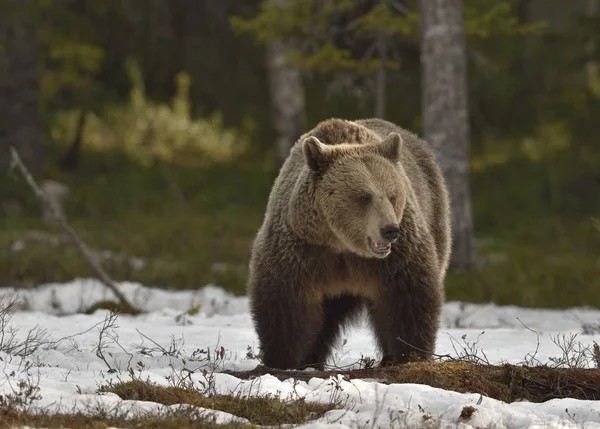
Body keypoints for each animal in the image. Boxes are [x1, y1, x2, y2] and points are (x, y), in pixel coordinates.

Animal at [247, 118, 450, 372]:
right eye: (364, 197)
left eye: (392, 196)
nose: (390, 230)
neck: (341, 244)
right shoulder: (301, 249)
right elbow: (284, 303)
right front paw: (281, 360)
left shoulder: (397, 256)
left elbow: (408, 298)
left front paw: (409, 355)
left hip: (435, 213)